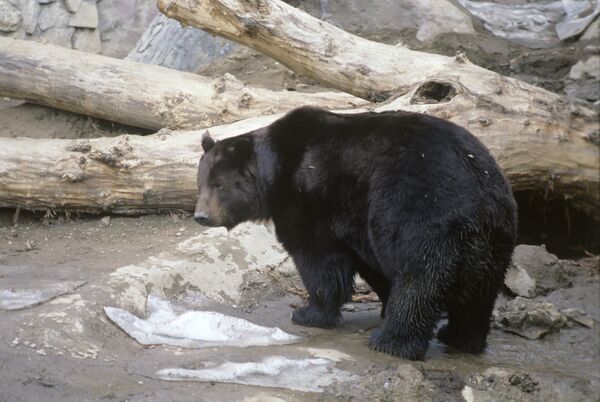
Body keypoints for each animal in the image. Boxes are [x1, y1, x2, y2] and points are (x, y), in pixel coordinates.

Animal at [195, 105, 516, 360]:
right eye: (201, 183)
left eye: (220, 185)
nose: (201, 216)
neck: (275, 171)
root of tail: (481, 197)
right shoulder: (354, 219)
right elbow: (367, 262)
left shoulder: (310, 200)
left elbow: (317, 257)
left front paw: (308, 313)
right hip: (494, 239)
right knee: (480, 293)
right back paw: (460, 337)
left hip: (426, 215)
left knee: (419, 280)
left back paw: (391, 342)